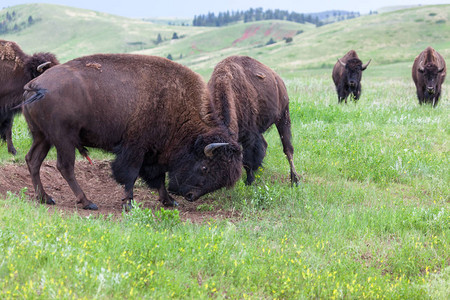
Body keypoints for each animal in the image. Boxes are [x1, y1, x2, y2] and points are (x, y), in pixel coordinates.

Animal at [21, 52, 243, 210]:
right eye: (205, 167)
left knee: (33, 160)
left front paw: (169, 201)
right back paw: (87, 203)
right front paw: (128, 203)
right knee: (65, 167)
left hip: (42, 137)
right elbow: (131, 175)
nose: (189, 196)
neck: (176, 104)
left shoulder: (155, 152)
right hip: (63, 139)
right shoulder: (135, 148)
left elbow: (158, 177)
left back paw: (45, 198)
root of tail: (35, 85)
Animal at [207, 54, 298, 185]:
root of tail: (278, 79)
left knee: (288, 149)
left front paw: (249, 181)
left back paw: (294, 180)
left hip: (283, 116)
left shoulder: (248, 136)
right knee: (265, 145)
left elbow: (248, 159)